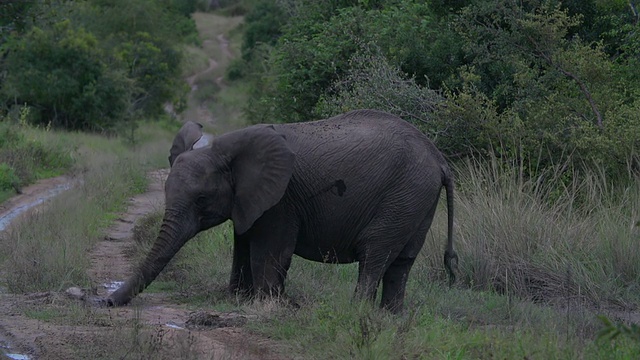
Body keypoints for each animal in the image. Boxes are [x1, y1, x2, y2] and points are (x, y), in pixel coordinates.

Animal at [102, 109, 456, 312]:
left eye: (201, 201)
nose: (103, 301)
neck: (225, 152)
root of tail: (439, 159)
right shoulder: (248, 200)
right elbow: (243, 245)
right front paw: (239, 298)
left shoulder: (281, 200)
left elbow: (271, 250)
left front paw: (267, 305)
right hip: (416, 199)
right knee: (401, 264)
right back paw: (389, 317)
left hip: (404, 195)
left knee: (375, 256)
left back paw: (357, 312)